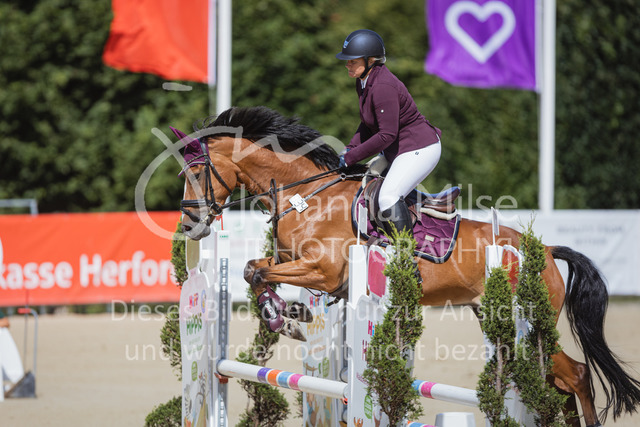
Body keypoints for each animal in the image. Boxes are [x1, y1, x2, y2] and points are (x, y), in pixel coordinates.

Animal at [174, 106, 640, 427]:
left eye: (196, 172)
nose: (190, 224)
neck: (306, 197)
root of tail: (543, 249)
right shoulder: (296, 264)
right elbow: (254, 268)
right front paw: (289, 314)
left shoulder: (324, 271)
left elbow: (258, 272)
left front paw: (282, 315)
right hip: (498, 320)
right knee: (560, 381)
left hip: (524, 321)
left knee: (576, 374)